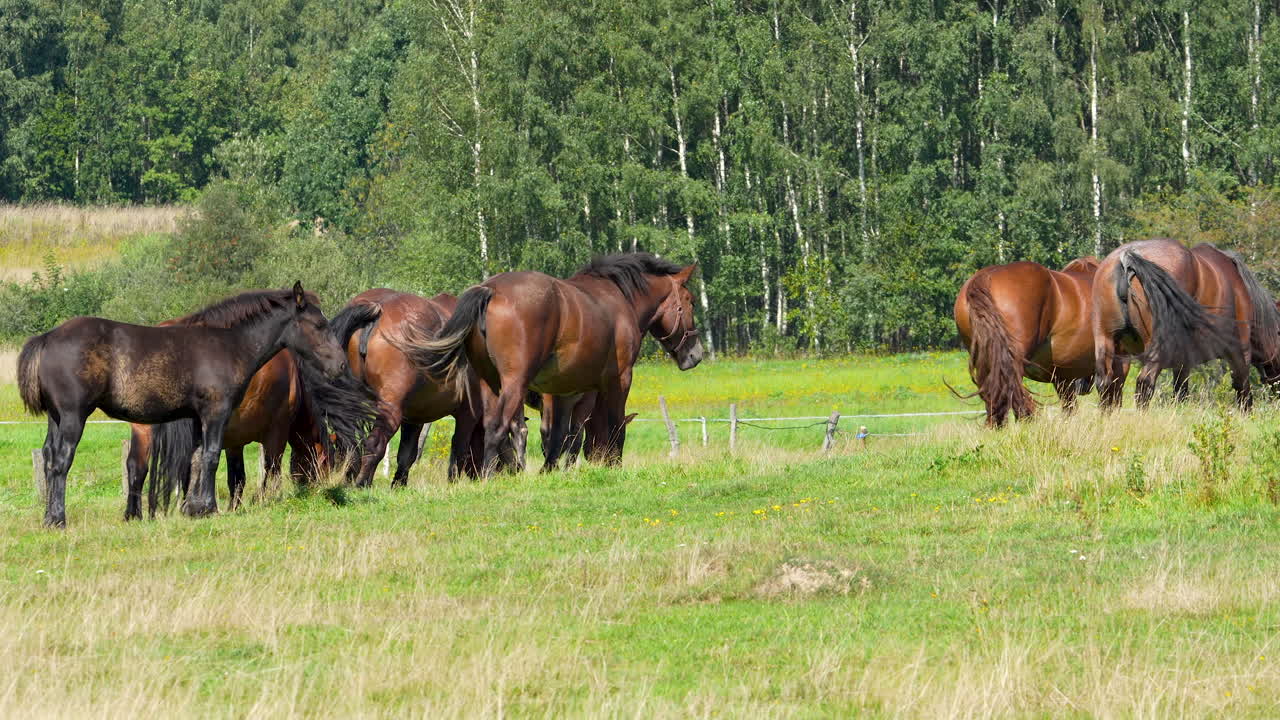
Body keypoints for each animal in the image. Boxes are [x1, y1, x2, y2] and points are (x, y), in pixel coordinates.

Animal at [17, 283, 347, 527]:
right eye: (319, 324)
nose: (341, 365)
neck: (227, 343)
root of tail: (47, 338)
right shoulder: (216, 412)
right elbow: (212, 457)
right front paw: (208, 508)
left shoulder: (197, 417)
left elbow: (198, 458)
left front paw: (194, 507)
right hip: (73, 416)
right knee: (61, 460)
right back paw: (57, 519)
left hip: (56, 418)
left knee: (49, 456)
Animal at [330, 289, 520, 486]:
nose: (514, 470)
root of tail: (376, 307)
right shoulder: (468, 414)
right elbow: (459, 448)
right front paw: (453, 482)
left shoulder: (414, 417)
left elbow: (407, 454)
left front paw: (399, 484)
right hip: (390, 410)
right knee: (374, 445)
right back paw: (361, 483)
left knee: (350, 444)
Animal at [399, 253, 704, 474]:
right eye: (690, 301)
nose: (696, 355)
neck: (617, 299)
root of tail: (490, 290)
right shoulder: (615, 382)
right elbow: (611, 426)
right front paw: (614, 466)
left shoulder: (565, 392)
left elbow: (558, 436)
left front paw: (550, 471)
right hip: (514, 385)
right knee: (497, 428)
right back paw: (489, 475)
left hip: (491, 386)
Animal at [1091, 239, 1274, 410]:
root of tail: (1128, 257)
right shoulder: (1240, 349)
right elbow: (1242, 386)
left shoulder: (1183, 359)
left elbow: (1180, 390)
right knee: (1145, 382)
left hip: (1105, 340)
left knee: (1105, 383)